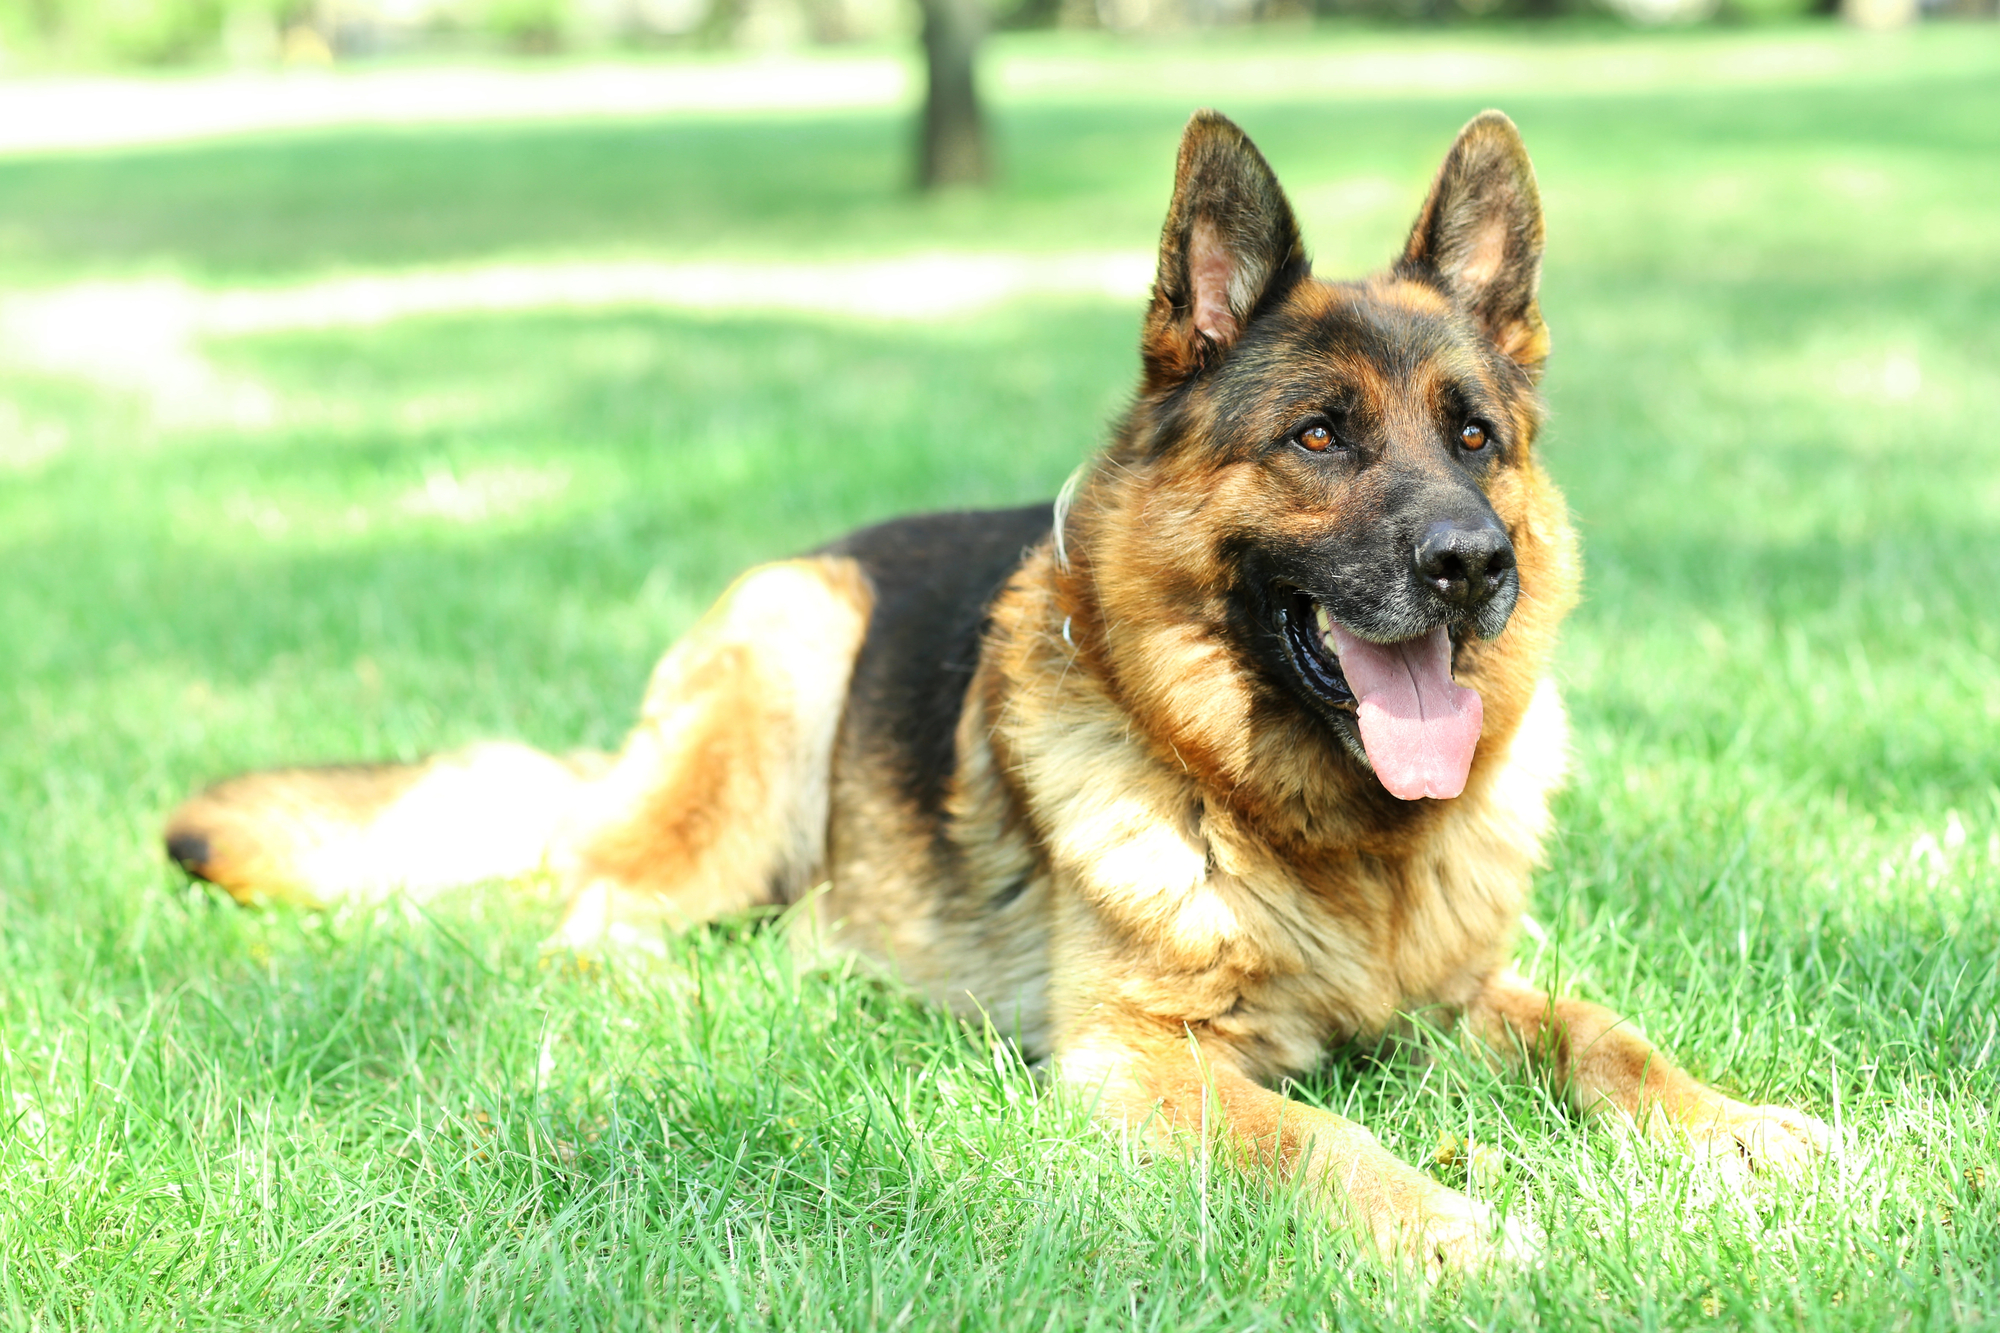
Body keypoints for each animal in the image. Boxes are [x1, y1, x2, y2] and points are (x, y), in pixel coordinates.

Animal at [168, 109, 1832, 1272]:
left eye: (1475, 437)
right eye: (1318, 438)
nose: (1471, 563)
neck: (1317, 837)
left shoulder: (1460, 996)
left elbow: (1605, 1035)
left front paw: (1737, 1128)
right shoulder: (1141, 1064)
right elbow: (1316, 1144)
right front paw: (1446, 1226)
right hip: (781, 675)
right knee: (590, 916)